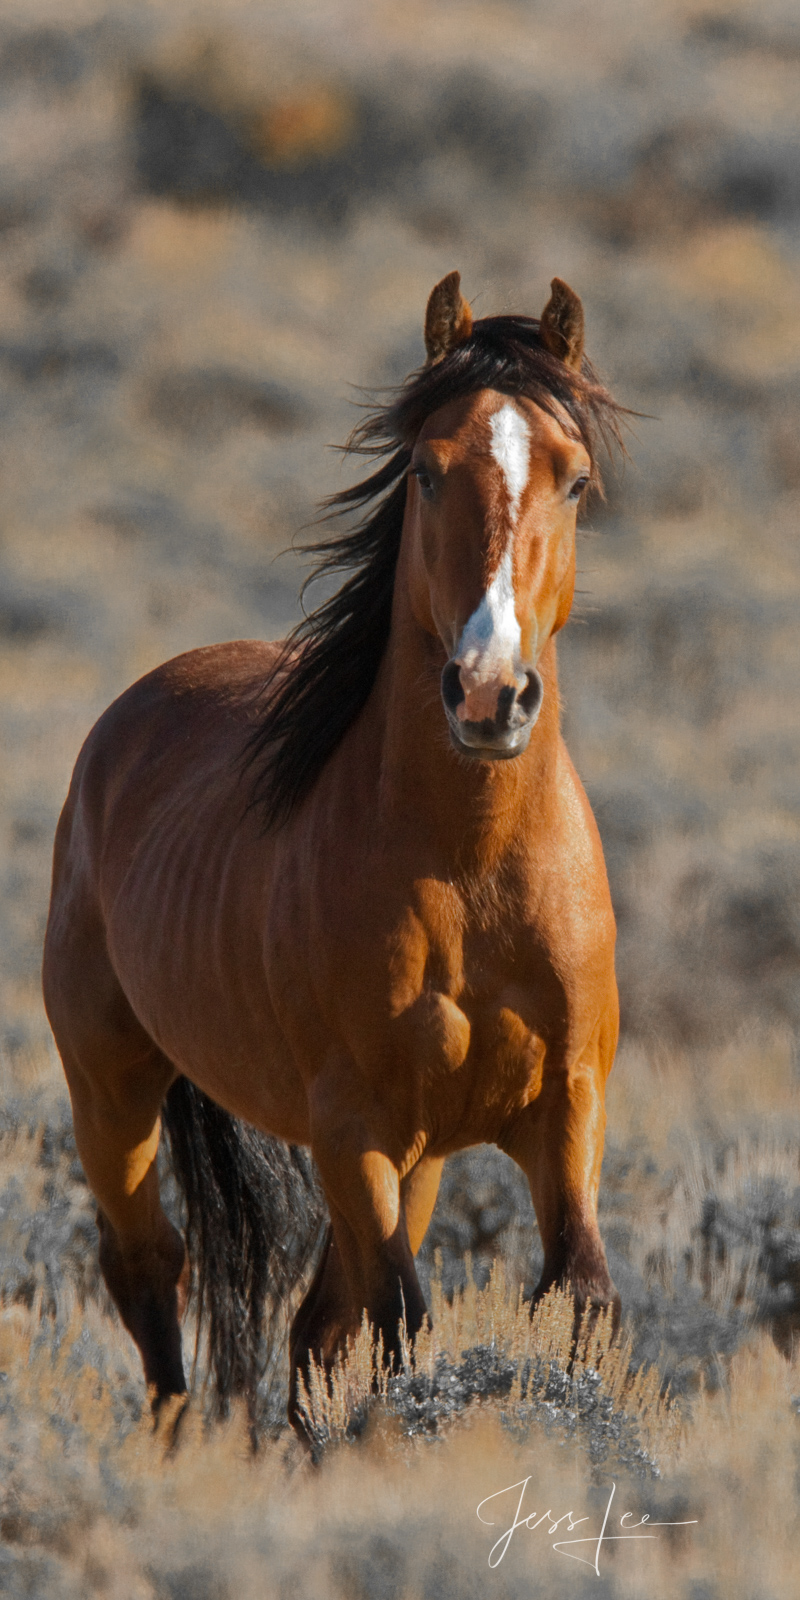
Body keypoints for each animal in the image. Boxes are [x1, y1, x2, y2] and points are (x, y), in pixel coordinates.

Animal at [43, 272, 627, 1440]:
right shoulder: (355, 1131)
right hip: (111, 1089)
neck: (471, 865)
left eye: (575, 478)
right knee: (151, 1272)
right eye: (426, 469)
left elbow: (575, 1297)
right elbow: (403, 1329)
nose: (489, 692)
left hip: (421, 1160)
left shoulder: (565, 1105)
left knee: (313, 1330)